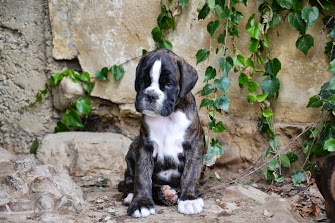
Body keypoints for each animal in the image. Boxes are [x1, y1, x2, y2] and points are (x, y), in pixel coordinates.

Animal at [119, 48, 206, 218]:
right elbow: (142, 177)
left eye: (168, 84)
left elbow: (190, 173)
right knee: (129, 183)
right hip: (133, 147)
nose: (151, 95)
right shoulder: (144, 147)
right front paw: (141, 203)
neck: (168, 117)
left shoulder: (194, 146)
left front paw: (189, 199)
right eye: (142, 81)